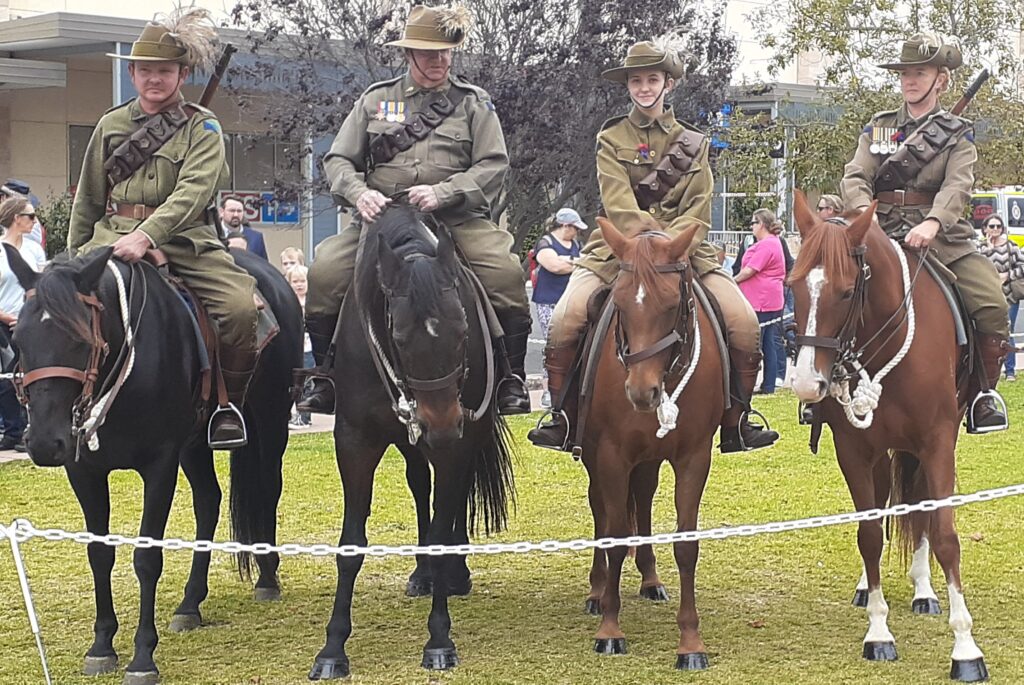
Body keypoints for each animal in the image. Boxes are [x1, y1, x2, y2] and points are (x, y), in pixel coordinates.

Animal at [6, 241, 301, 683]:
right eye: (18, 337)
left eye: (80, 339)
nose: (42, 442)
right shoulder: (84, 471)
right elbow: (99, 554)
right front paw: (101, 646)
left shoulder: (159, 464)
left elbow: (147, 557)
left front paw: (143, 655)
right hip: (194, 446)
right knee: (208, 501)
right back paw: (190, 604)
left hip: (270, 419)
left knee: (268, 489)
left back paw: (267, 576)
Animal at [303, 204, 512, 679]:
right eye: (399, 336)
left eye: (463, 329)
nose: (442, 424)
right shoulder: (355, 442)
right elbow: (351, 545)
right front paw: (332, 648)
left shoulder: (454, 446)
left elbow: (441, 532)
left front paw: (439, 641)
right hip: (411, 441)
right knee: (421, 487)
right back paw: (424, 575)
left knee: (450, 504)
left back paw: (453, 573)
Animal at [577, 218, 729, 667]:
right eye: (620, 302)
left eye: (671, 304)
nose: (642, 392)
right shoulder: (611, 456)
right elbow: (612, 538)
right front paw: (610, 630)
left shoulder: (693, 457)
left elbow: (686, 544)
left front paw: (691, 642)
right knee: (601, 510)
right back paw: (597, 590)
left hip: (647, 459)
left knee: (642, 497)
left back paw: (649, 578)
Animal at [786, 189, 987, 679]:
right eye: (793, 285)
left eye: (845, 291)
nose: (808, 383)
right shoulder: (855, 450)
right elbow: (869, 534)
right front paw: (878, 633)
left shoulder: (937, 443)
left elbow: (945, 535)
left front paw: (965, 648)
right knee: (879, 511)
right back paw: (869, 587)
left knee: (921, 511)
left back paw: (925, 591)